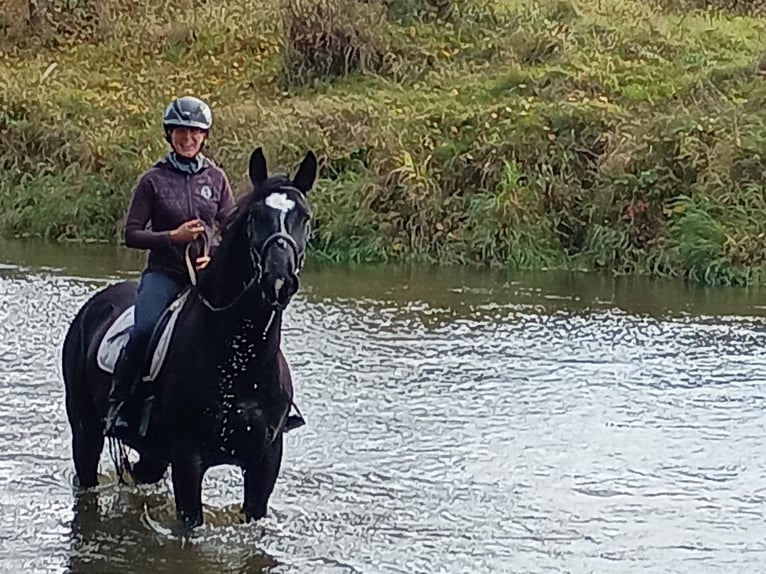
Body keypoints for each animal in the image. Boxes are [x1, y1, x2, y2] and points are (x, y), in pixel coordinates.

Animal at [61, 147, 316, 527]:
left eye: (305, 217)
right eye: (255, 216)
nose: (278, 279)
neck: (238, 358)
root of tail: (92, 307)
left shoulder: (265, 462)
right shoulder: (187, 459)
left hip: (152, 452)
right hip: (85, 430)